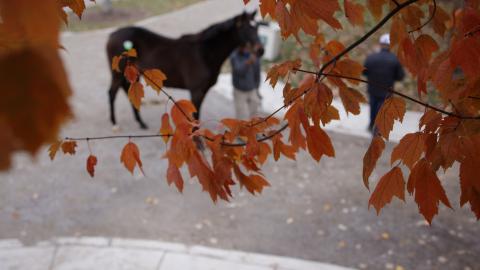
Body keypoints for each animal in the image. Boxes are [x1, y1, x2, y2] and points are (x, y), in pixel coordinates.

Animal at [106, 10, 262, 129]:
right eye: (246, 28)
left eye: (256, 28)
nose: (261, 51)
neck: (204, 53)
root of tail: (112, 35)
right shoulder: (196, 91)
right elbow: (195, 116)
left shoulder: (203, 91)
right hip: (117, 74)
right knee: (112, 93)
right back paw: (114, 124)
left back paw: (141, 123)